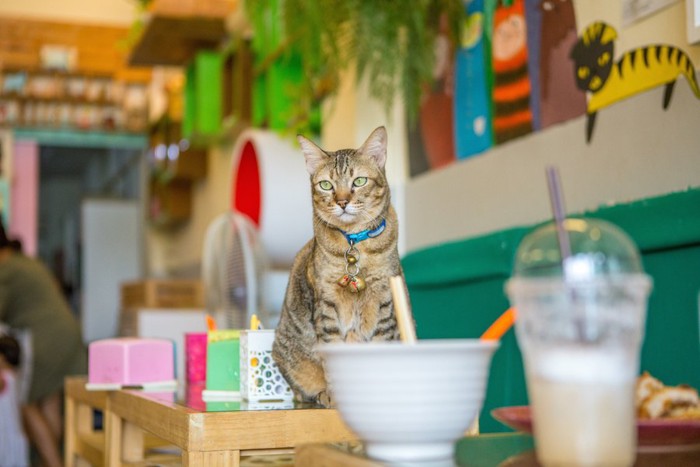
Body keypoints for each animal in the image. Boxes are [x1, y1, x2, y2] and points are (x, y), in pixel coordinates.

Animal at [274, 127, 404, 406]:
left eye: (359, 181)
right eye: (326, 185)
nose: (342, 202)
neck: (355, 244)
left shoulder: (385, 303)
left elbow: (380, 348)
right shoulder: (327, 305)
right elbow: (333, 353)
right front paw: (337, 396)